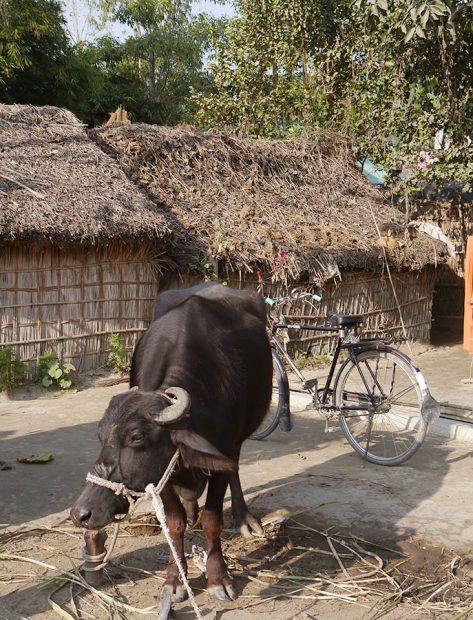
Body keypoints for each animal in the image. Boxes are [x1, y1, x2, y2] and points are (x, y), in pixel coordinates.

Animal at [68, 284, 272, 604]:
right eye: (101, 436)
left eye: (137, 437)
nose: (82, 513)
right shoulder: (161, 473)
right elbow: (174, 523)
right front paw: (176, 579)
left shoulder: (223, 450)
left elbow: (213, 518)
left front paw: (218, 578)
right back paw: (191, 511)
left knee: (235, 470)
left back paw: (244, 519)